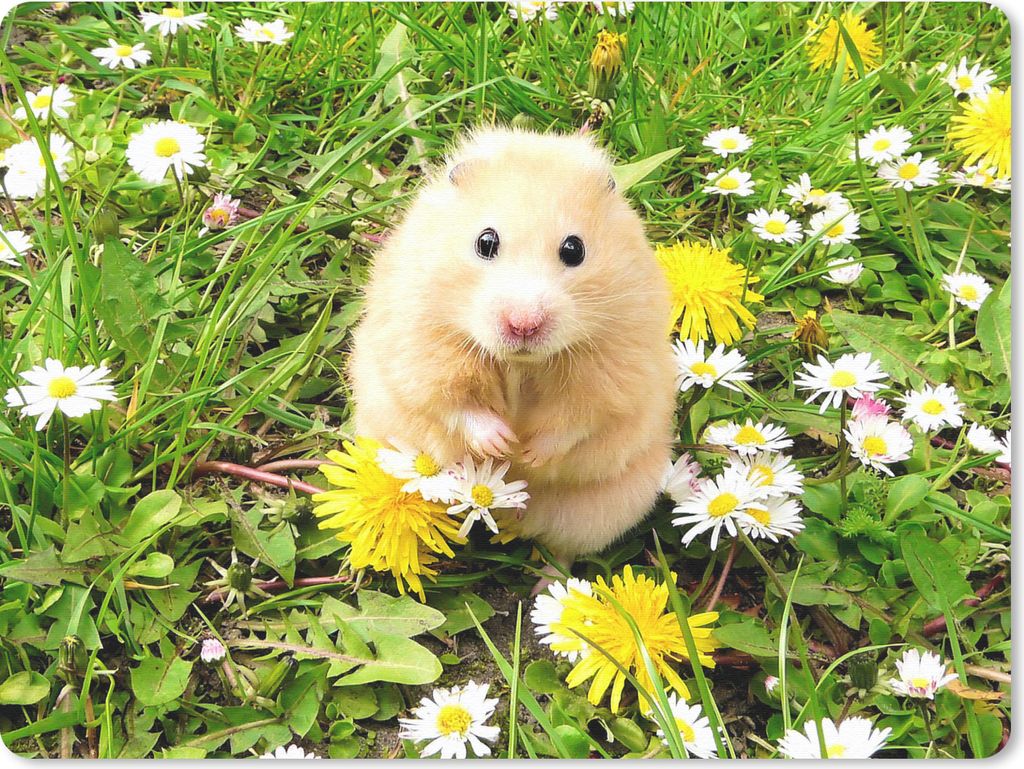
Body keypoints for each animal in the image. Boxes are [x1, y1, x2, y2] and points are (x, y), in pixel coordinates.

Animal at [348, 127, 677, 570]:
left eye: (574, 249)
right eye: (485, 242)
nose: (524, 324)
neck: (520, 364)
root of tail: (509, 514)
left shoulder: (614, 369)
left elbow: (578, 419)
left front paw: (529, 455)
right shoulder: (420, 346)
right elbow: (453, 403)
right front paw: (502, 445)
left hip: (600, 511)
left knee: (563, 552)